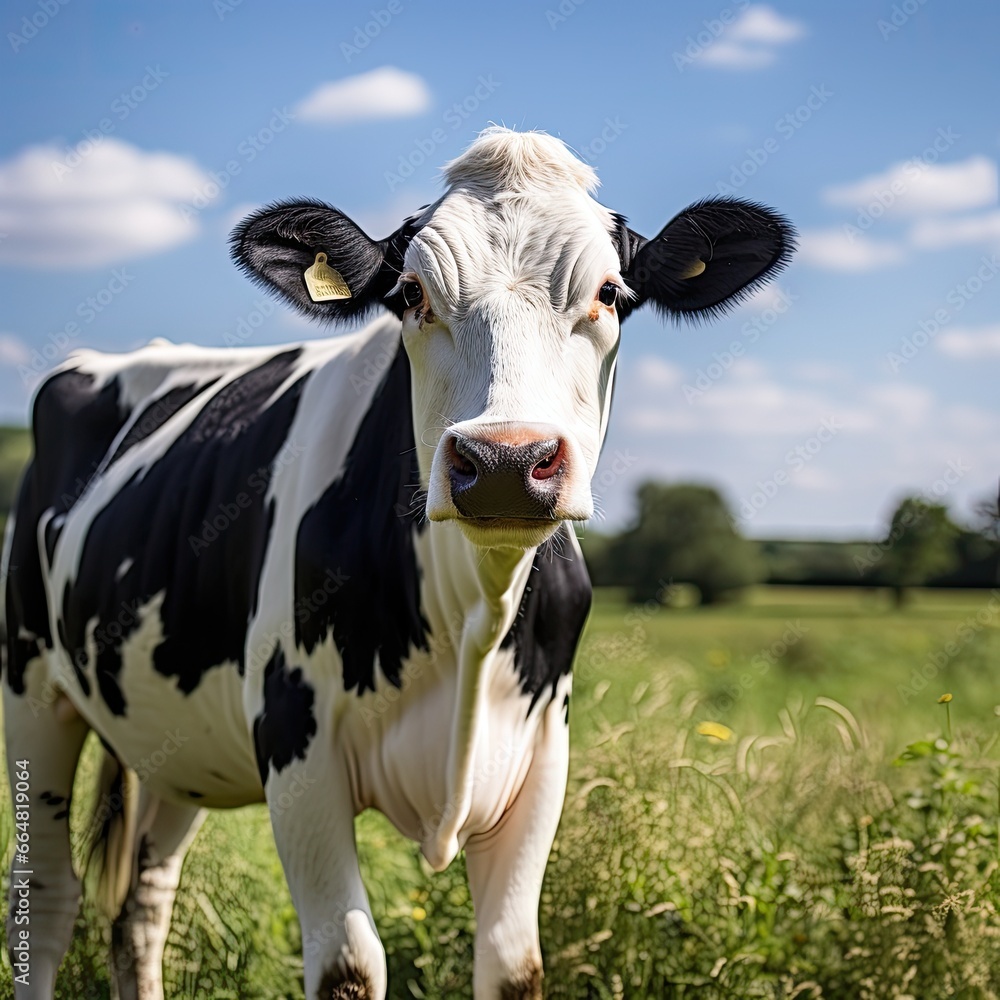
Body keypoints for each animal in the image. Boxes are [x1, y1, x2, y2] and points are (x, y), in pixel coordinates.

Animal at [3, 127, 792, 1000]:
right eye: (412, 293)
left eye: (611, 294)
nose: (506, 461)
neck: (472, 611)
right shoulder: (295, 744)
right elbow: (348, 964)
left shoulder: (543, 758)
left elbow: (514, 964)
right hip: (30, 686)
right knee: (48, 892)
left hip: (177, 742)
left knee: (141, 900)